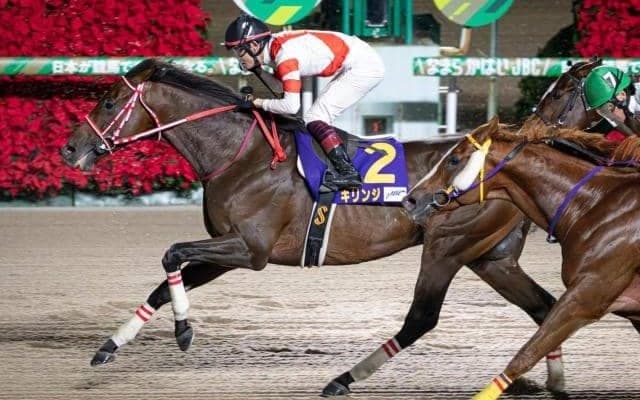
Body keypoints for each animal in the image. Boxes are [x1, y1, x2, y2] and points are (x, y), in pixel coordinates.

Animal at [61, 58, 568, 395]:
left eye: (108, 101)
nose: (69, 149)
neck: (241, 156)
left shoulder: (251, 250)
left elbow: (171, 253)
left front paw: (184, 332)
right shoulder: (228, 249)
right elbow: (164, 284)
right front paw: (110, 346)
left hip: (448, 247)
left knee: (422, 319)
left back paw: (343, 379)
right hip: (491, 257)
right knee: (545, 309)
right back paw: (555, 383)